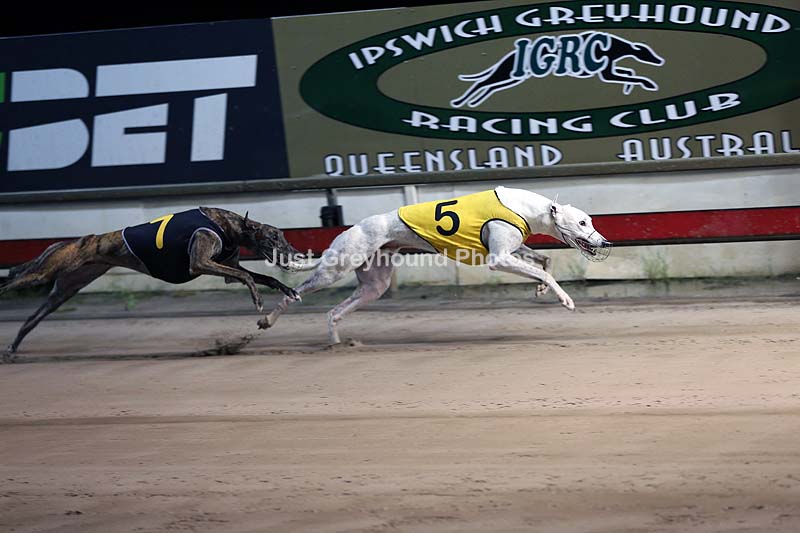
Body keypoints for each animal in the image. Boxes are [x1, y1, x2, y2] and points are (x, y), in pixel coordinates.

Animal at [1, 207, 305, 361]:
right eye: (275, 237)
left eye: (283, 236)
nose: (295, 254)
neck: (229, 225)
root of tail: (68, 242)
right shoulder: (200, 262)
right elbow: (248, 278)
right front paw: (258, 300)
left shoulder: (229, 268)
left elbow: (261, 277)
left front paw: (288, 290)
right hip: (43, 274)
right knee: (9, 286)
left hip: (66, 289)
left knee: (31, 319)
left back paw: (12, 349)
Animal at [260, 187, 611, 345]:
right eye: (582, 222)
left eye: (591, 220)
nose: (606, 243)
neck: (525, 206)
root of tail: (350, 229)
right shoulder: (498, 258)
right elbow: (542, 270)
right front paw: (565, 299)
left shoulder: (513, 248)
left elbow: (544, 261)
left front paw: (540, 289)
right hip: (338, 266)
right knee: (294, 292)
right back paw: (267, 320)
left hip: (374, 284)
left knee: (334, 311)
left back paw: (336, 341)